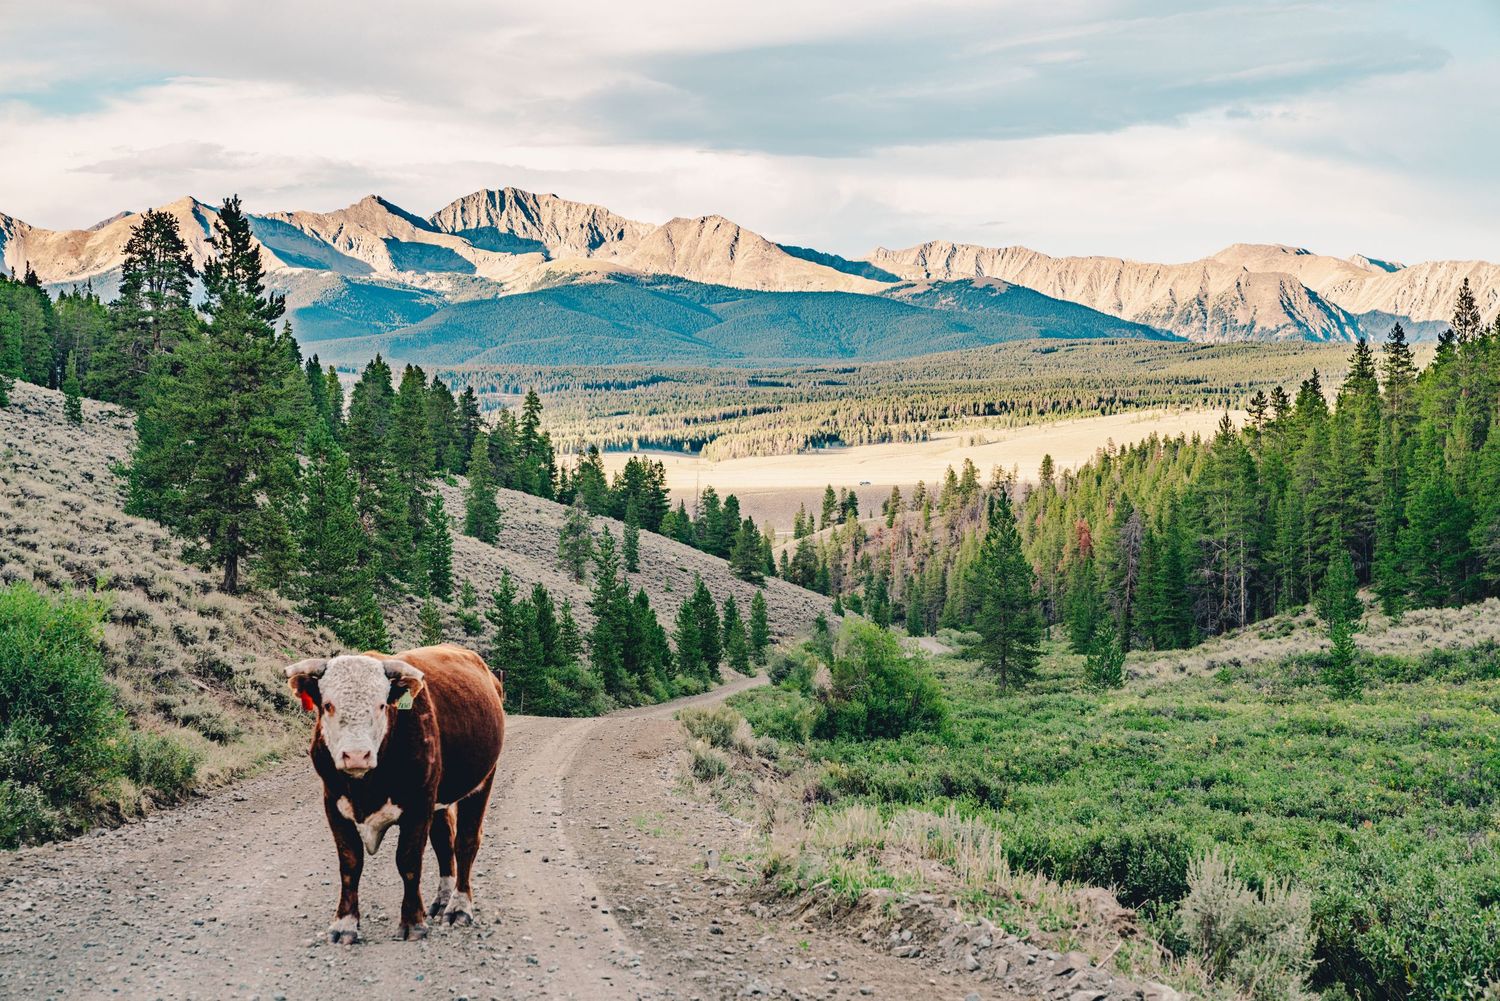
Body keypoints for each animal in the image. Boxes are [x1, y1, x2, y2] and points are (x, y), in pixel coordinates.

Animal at [285, 644, 506, 944]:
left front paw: (412, 922)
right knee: (444, 841)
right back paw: (442, 900)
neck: (366, 786)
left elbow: (408, 861)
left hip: (483, 780)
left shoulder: (418, 805)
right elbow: (350, 863)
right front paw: (344, 924)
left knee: (465, 842)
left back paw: (458, 907)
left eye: (381, 706)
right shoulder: (333, 804)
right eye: (328, 705)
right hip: (439, 800)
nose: (357, 755)